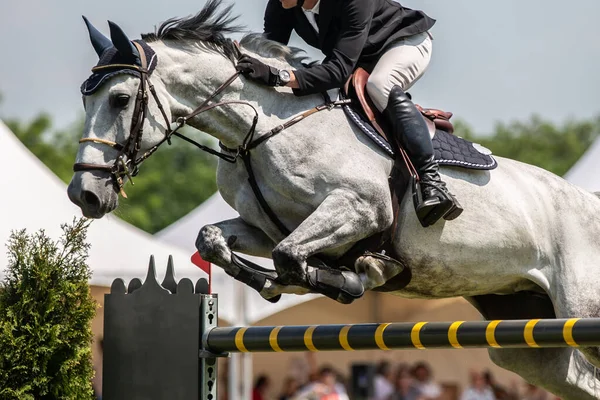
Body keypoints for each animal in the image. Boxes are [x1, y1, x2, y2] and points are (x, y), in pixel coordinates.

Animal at [67, 2, 600, 396]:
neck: (260, 127)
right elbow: (216, 240)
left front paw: (351, 275)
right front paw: (276, 284)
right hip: (525, 340)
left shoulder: (360, 209)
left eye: (119, 99)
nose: (84, 195)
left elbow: (294, 257)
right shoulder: (266, 227)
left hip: (581, 310)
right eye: (84, 98)